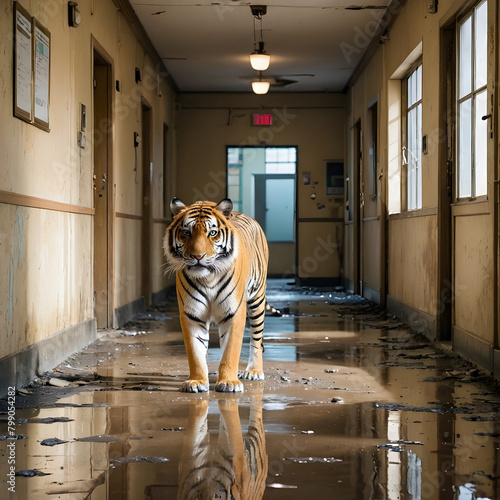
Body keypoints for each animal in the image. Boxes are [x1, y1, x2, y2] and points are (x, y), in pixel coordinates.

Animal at [164, 197, 270, 392]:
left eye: (212, 233)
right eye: (186, 232)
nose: (198, 256)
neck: (208, 278)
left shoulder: (235, 312)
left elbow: (231, 350)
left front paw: (228, 382)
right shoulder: (191, 313)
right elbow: (195, 352)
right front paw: (197, 381)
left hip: (257, 299)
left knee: (256, 339)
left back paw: (254, 371)